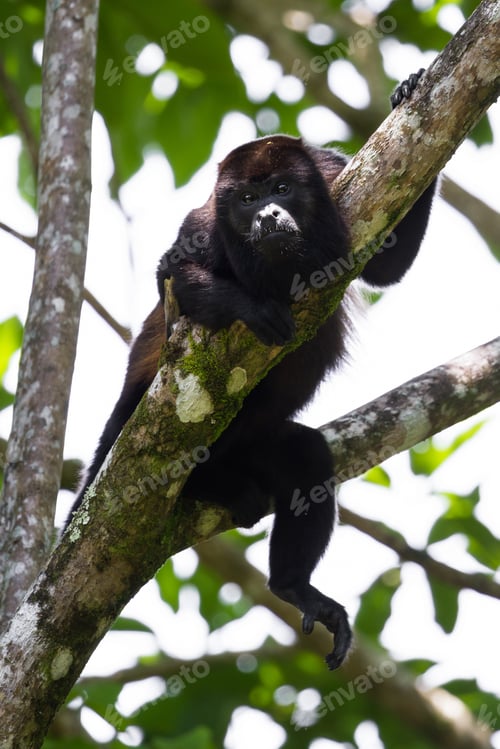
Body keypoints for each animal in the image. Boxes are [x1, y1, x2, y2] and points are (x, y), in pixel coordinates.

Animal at [67, 72, 435, 669]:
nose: (268, 216)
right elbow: (171, 274)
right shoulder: (202, 227)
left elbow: (387, 265)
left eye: (282, 189)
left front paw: (408, 93)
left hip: (254, 447)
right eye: (246, 199)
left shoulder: (334, 176)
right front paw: (254, 308)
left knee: (307, 459)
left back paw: (292, 584)